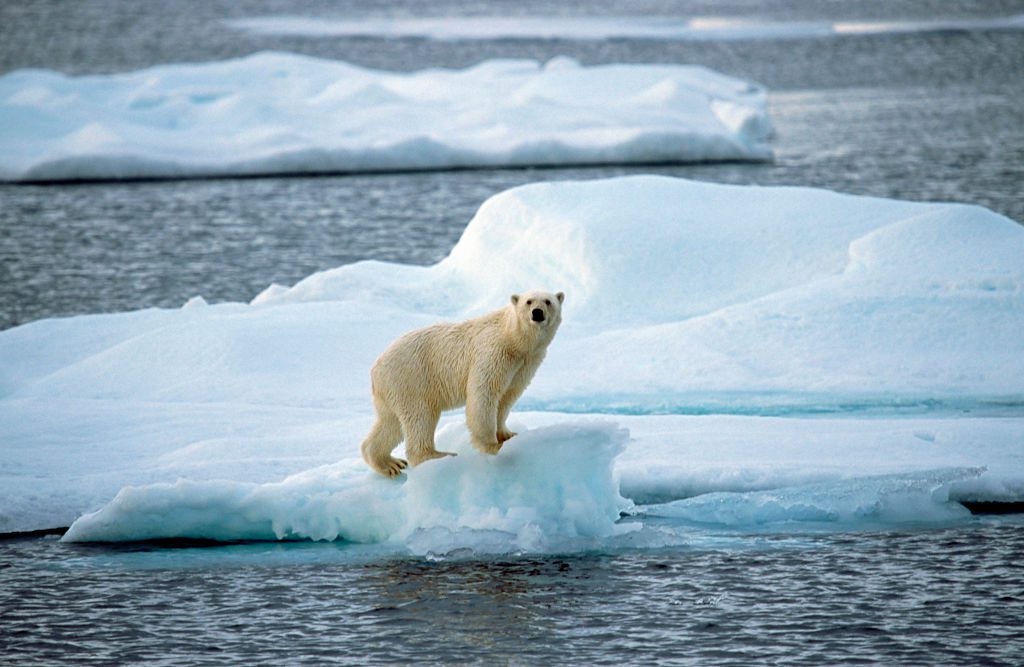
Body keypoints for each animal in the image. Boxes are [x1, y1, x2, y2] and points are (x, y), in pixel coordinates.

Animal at [360, 290, 565, 478]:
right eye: (528, 301)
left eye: (548, 301)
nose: (537, 312)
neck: (513, 338)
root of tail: (375, 368)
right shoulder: (494, 352)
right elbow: (484, 393)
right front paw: (492, 446)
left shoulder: (525, 363)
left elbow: (508, 397)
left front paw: (507, 434)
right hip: (412, 378)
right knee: (420, 416)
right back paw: (438, 455)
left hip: (392, 389)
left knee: (391, 423)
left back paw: (389, 463)